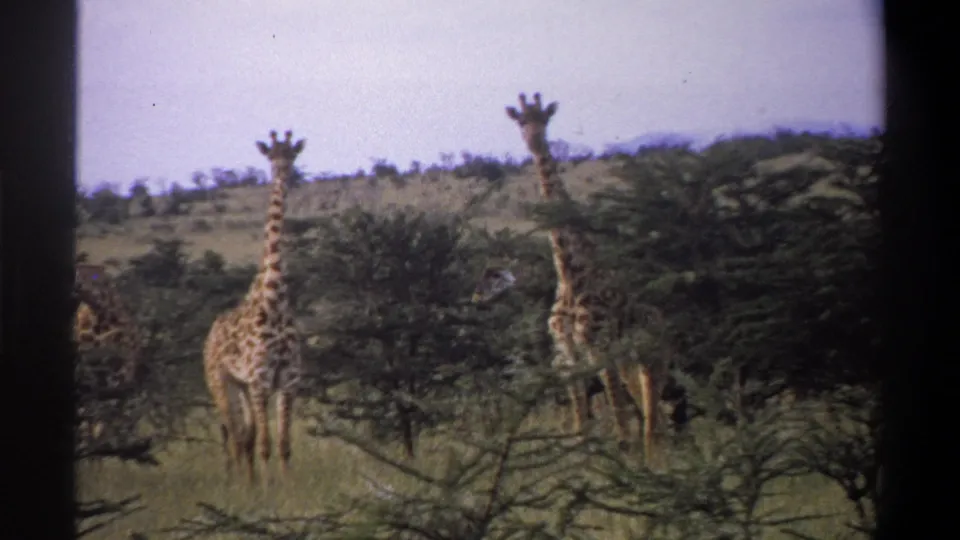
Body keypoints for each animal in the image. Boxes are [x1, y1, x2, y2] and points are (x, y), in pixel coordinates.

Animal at [203, 129, 304, 486]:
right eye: (271, 157)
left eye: (292, 155)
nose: (284, 172)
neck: (274, 297)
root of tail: (209, 335)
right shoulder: (260, 380)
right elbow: (265, 443)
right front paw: (269, 488)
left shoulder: (288, 380)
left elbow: (284, 444)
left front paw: (287, 486)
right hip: (221, 383)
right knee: (234, 436)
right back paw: (238, 484)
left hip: (244, 387)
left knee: (243, 435)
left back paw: (248, 481)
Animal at [504, 92, 668, 464]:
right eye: (520, 121)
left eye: (545, 119)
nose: (535, 141)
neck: (569, 272)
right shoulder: (568, 357)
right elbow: (581, 423)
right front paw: (583, 465)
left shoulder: (597, 347)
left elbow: (619, 419)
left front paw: (623, 462)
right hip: (628, 357)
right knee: (648, 407)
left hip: (651, 352)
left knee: (653, 409)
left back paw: (658, 460)